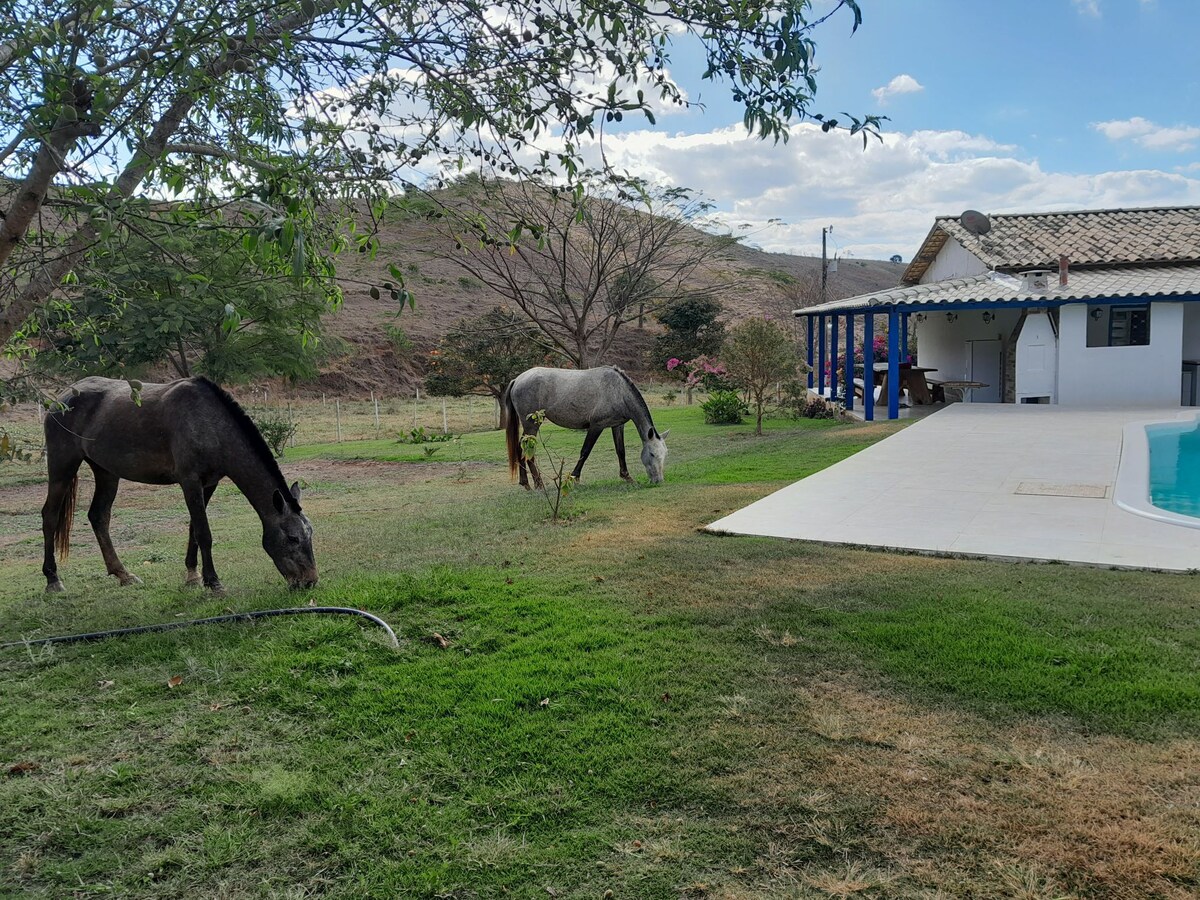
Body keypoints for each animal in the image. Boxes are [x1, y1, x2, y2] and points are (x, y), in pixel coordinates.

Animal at [41, 376, 316, 595]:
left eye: (310, 534)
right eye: (292, 538)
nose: (310, 581)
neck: (210, 423)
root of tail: (63, 397)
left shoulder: (209, 484)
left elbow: (194, 530)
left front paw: (193, 576)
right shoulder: (190, 481)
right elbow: (204, 533)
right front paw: (213, 583)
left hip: (106, 473)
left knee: (99, 516)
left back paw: (123, 575)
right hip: (62, 467)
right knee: (50, 516)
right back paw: (53, 580)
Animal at [496, 367, 667, 489]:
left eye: (664, 454)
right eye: (652, 454)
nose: (659, 480)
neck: (618, 390)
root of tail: (517, 379)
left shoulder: (617, 425)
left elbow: (621, 451)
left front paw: (627, 476)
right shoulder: (597, 426)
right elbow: (585, 451)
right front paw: (574, 477)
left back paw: (526, 483)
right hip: (532, 425)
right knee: (526, 451)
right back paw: (537, 484)